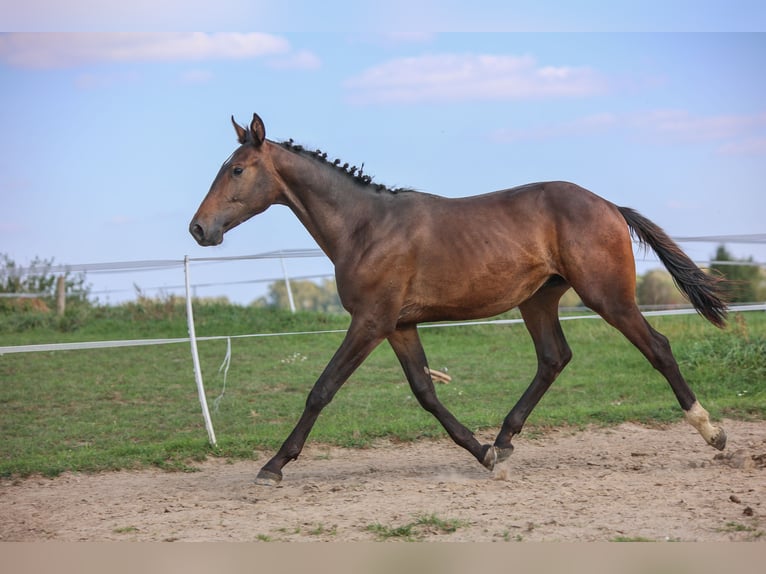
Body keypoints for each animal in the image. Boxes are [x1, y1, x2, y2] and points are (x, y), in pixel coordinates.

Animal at [189, 112, 728, 486]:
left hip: (608, 297)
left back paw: (714, 433)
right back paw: (504, 441)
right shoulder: (398, 325)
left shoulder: (369, 322)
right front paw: (483, 453)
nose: (199, 229)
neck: (365, 228)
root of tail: (610, 205)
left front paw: (273, 465)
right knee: (554, 358)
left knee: (657, 347)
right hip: (538, 301)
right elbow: (426, 393)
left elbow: (321, 389)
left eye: (237, 170)